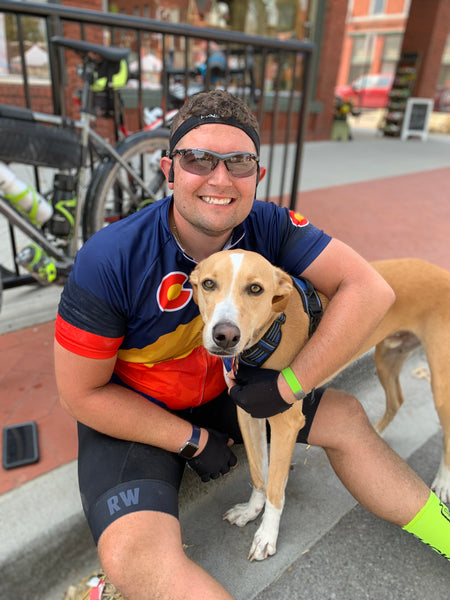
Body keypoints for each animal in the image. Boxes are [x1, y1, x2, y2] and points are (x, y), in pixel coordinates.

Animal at [189, 251, 450, 560]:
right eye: (208, 284)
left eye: (255, 288)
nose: (226, 336)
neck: (269, 331)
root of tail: (441, 271)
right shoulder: (248, 414)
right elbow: (258, 474)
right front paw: (251, 511)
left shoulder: (284, 422)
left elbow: (275, 487)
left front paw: (267, 535)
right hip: (386, 357)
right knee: (397, 400)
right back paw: (378, 432)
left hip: (441, 385)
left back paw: (443, 482)